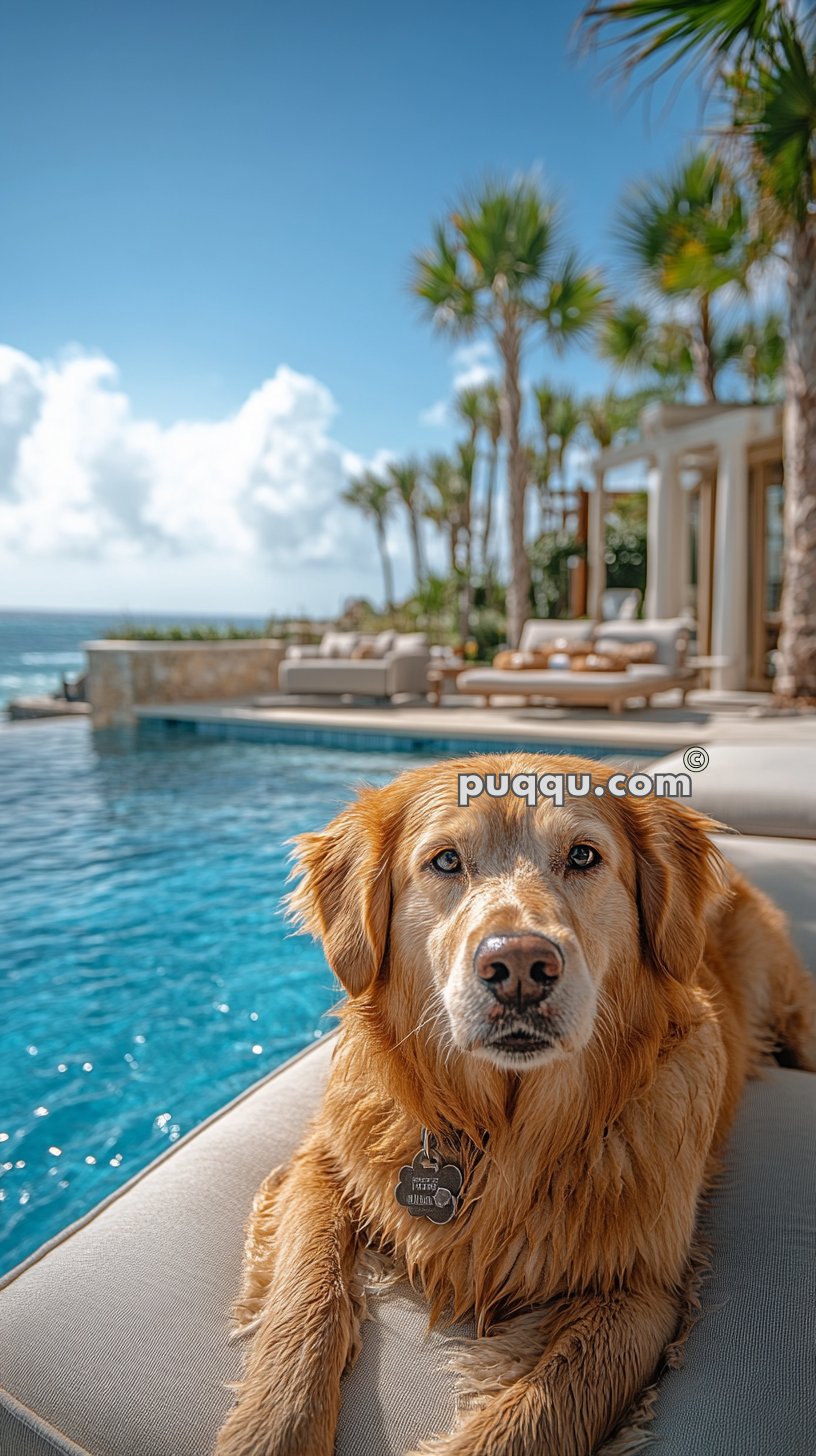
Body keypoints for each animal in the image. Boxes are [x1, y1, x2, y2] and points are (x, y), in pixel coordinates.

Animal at [217, 757, 816, 1456]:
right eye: (446, 861)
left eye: (583, 856)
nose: (522, 965)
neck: (502, 1129)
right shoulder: (321, 1164)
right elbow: (304, 1300)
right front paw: (270, 1428)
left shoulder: (644, 1290)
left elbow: (539, 1412)